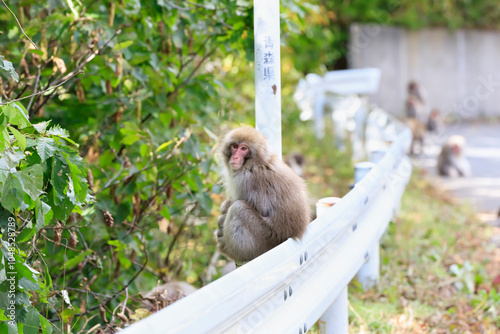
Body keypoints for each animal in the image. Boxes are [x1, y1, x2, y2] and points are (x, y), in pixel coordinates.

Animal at [217, 128, 310, 264]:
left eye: (244, 148)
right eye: (234, 146)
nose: (235, 157)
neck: (259, 162)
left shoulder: (245, 180)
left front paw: (222, 217)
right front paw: (224, 207)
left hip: (265, 240)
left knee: (238, 208)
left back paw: (230, 251)